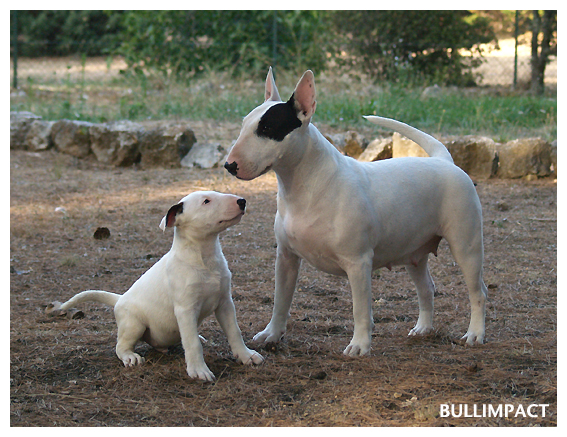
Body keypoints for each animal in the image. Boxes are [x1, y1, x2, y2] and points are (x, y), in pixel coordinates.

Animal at [48, 189, 264, 380]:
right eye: (206, 201)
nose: (242, 201)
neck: (203, 257)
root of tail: (120, 298)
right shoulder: (185, 310)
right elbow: (193, 343)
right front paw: (198, 370)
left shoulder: (225, 303)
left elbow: (234, 332)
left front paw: (246, 356)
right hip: (133, 324)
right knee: (121, 345)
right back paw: (130, 357)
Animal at [225, 67, 488, 354]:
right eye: (243, 125)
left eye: (267, 128)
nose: (229, 165)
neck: (304, 184)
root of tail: (445, 161)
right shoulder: (286, 257)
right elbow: (280, 301)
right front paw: (271, 334)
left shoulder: (358, 262)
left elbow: (361, 309)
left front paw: (360, 345)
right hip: (414, 253)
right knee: (427, 288)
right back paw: (423, 328)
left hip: (466, 246)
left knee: (478, 292)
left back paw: (475, 333)